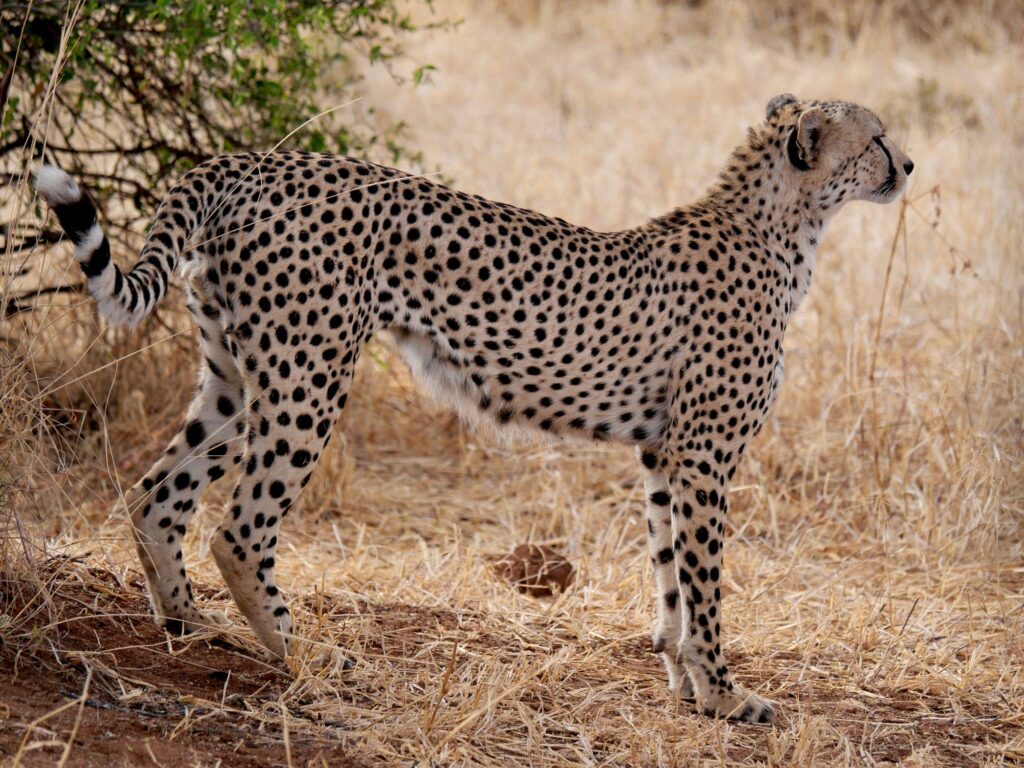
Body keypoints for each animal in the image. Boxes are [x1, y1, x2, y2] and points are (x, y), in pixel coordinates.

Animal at [35, 93, 913, 723]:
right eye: (874, 138)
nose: (907, 163)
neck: (783, 226)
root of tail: (252, 164)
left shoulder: (663, 453)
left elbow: (670, 579)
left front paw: (688, 686)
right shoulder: (703, 456)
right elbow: (705, 585)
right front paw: (729, 696)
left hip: (235, 375)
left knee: (157, 492)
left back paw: (190, 628)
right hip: (308, 377)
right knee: (240, 530)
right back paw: (305, 654)